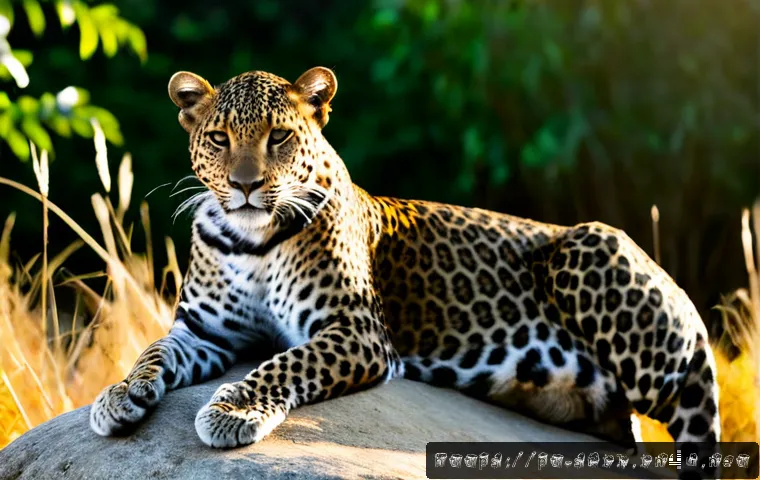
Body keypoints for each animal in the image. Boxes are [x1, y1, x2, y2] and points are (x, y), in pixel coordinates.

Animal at [89, 66, 721, 476]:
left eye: (281, 136)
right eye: (219, 138)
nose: (246, 185)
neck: (252, 242)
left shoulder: (358, 331)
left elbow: (282, 363)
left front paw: (231, 409)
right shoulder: (203, 332)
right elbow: (151, 352)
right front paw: (117, 396)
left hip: (601, 263)